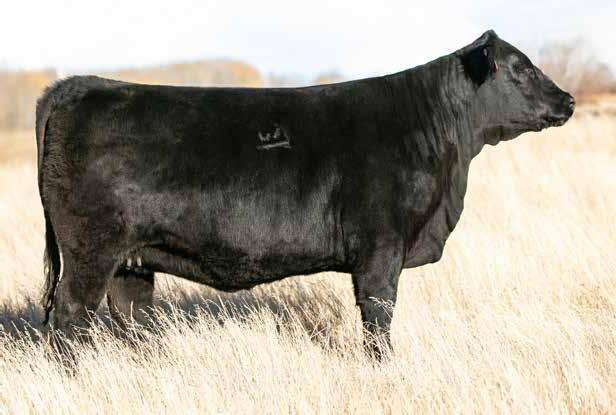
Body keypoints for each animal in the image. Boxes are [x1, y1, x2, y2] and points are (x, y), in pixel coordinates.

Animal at [36, 30, 574, 358]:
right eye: (522, 68)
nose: (568, 100)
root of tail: (78, 86)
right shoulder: (381, 247)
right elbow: (379, 315)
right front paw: (382, 368)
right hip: (90, 250)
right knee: (71, 314)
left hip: (133, 258)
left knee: (130, 314)